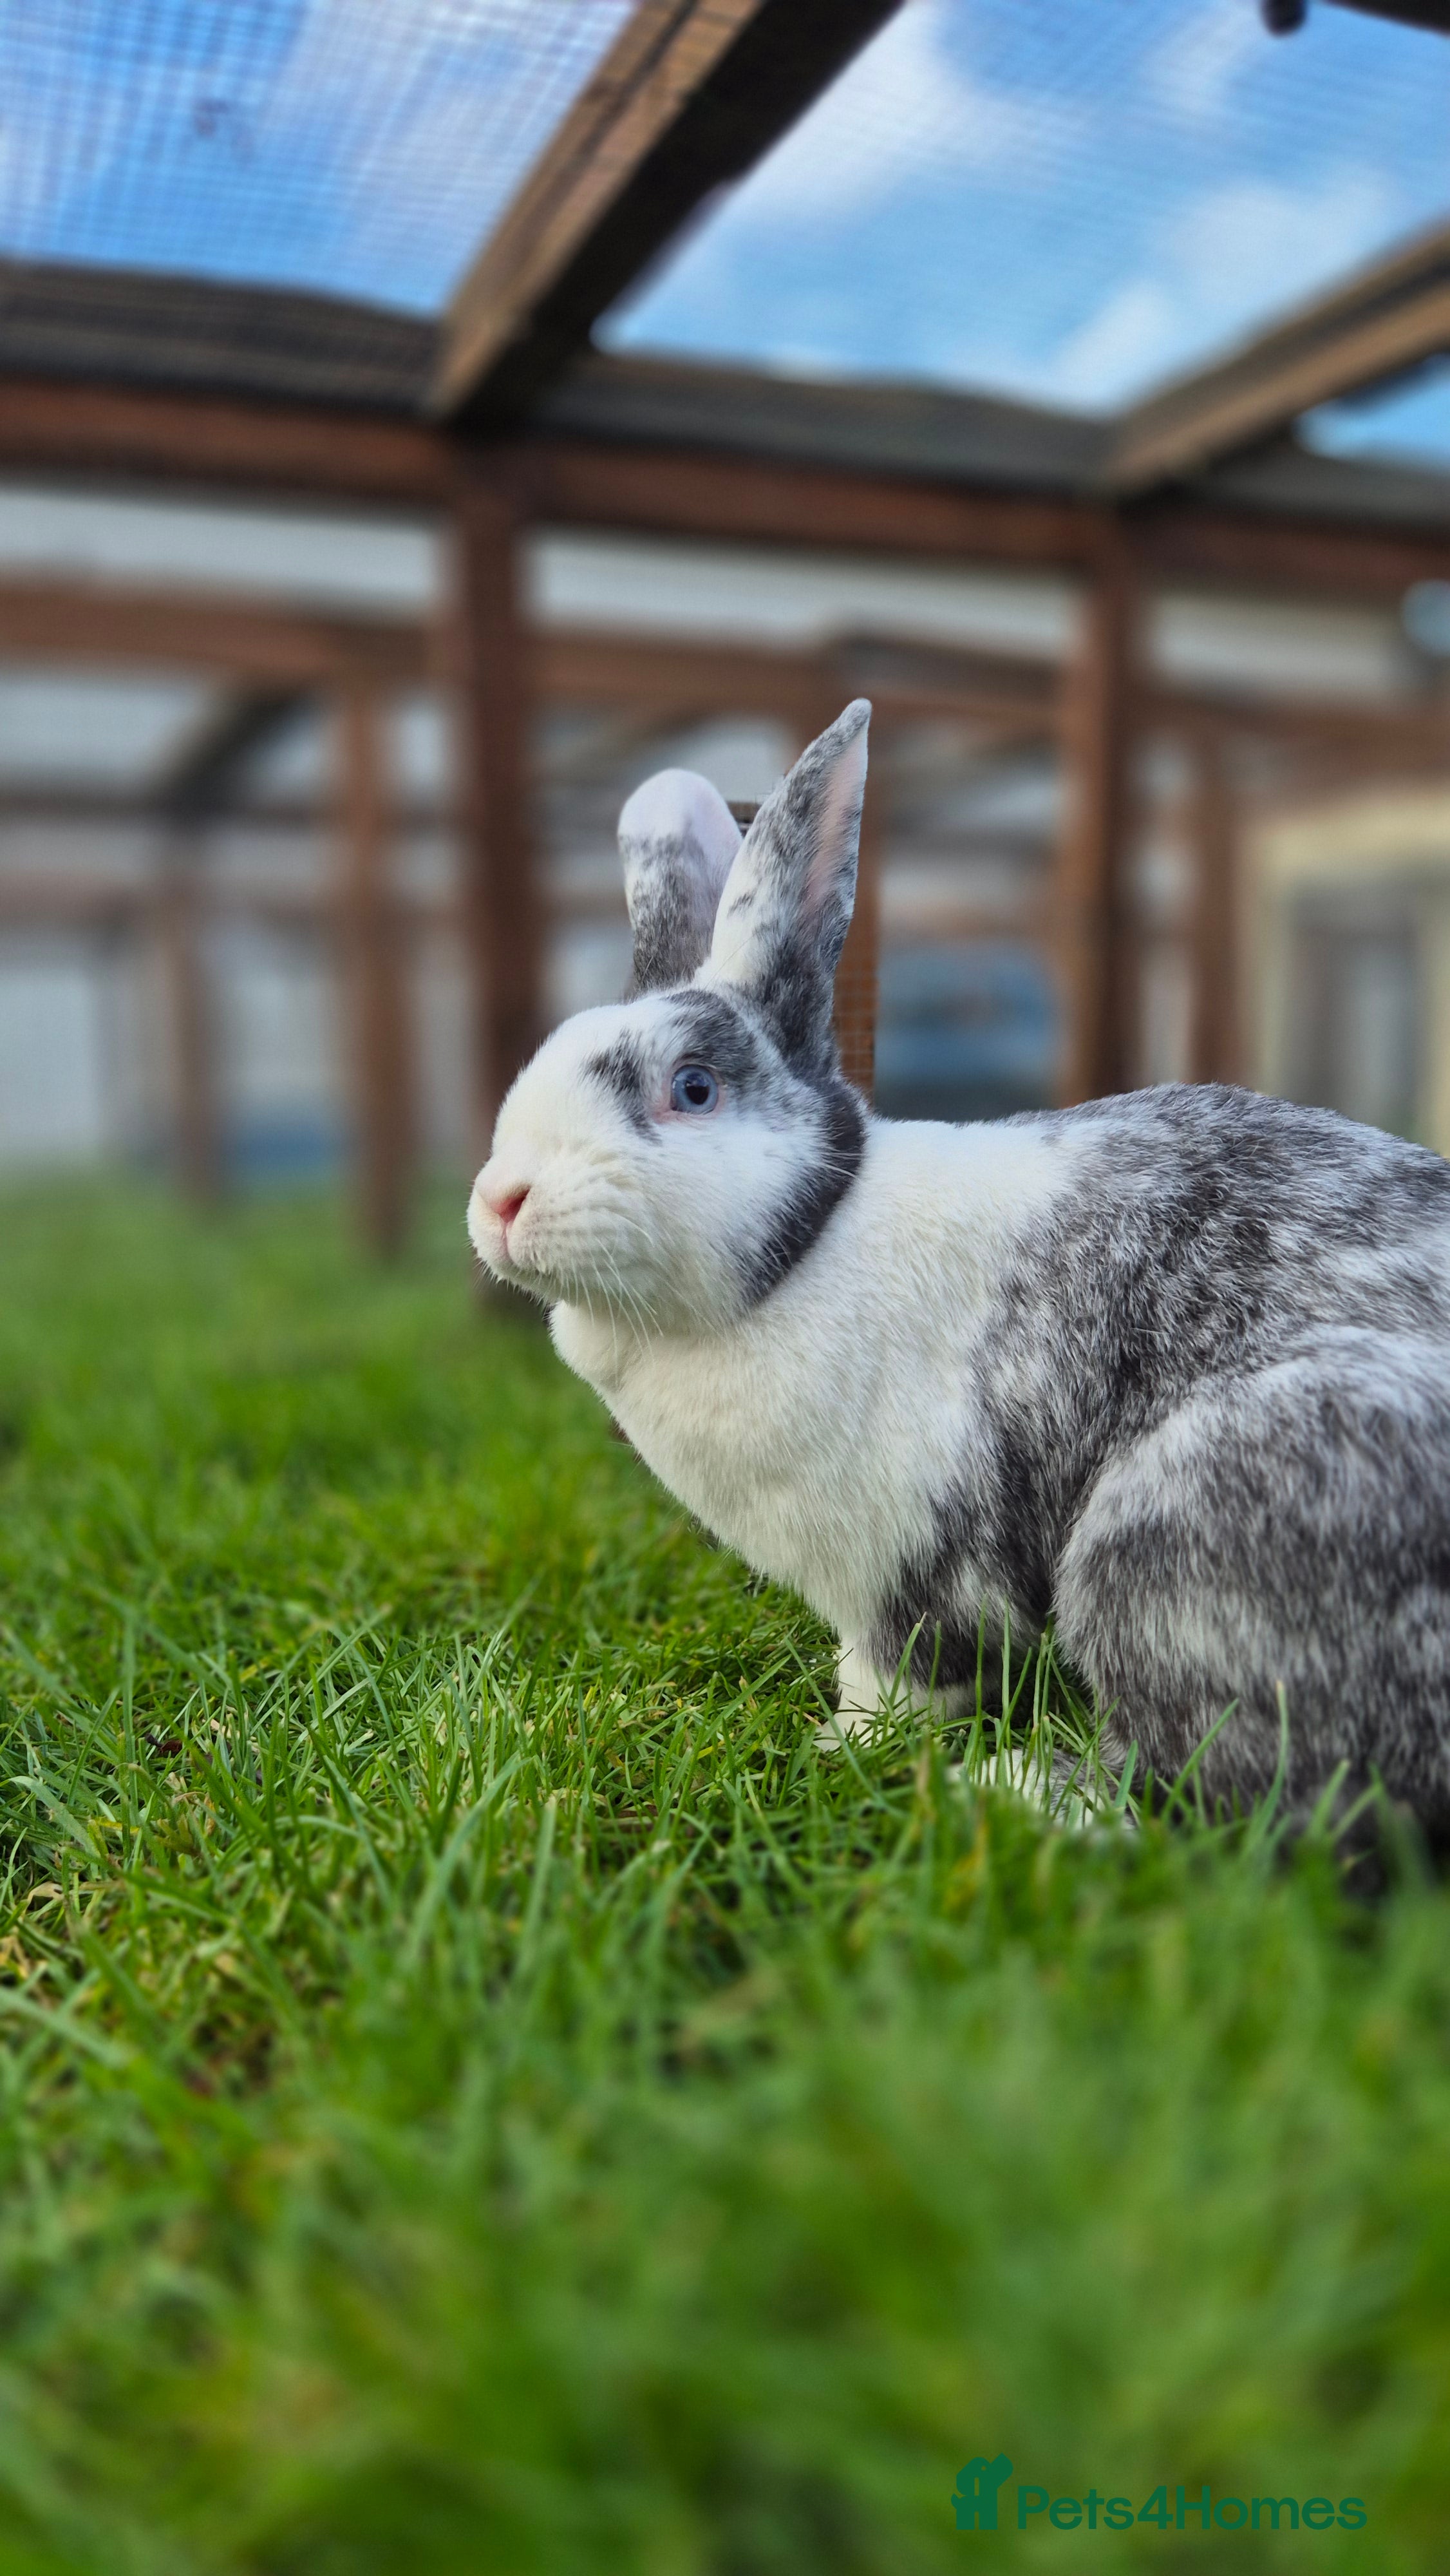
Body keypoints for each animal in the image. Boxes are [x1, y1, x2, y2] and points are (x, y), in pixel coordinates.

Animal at [469, 698, 1450, 1845]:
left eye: (694, 1088)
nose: (501, 1202)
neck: (807, 1247)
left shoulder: (913, 1574)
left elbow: (903, 1679)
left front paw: (844, 1748)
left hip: (1178, 1533)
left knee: (1226, 1799)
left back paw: (1014, 1787)